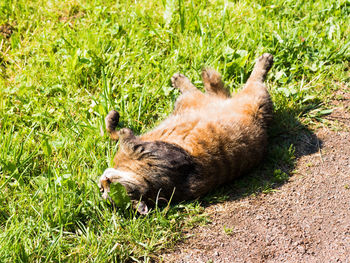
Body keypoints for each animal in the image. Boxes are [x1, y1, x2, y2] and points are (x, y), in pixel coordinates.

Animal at [98, 52, 274, 213]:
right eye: (105, 191)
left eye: (108, 188)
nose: (101, 184)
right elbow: (125, 138)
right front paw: (121, 129)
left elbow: (116, 135)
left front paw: (114, 121)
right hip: (255, 98)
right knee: (244, 83)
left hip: (190, 103)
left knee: (218, 89)